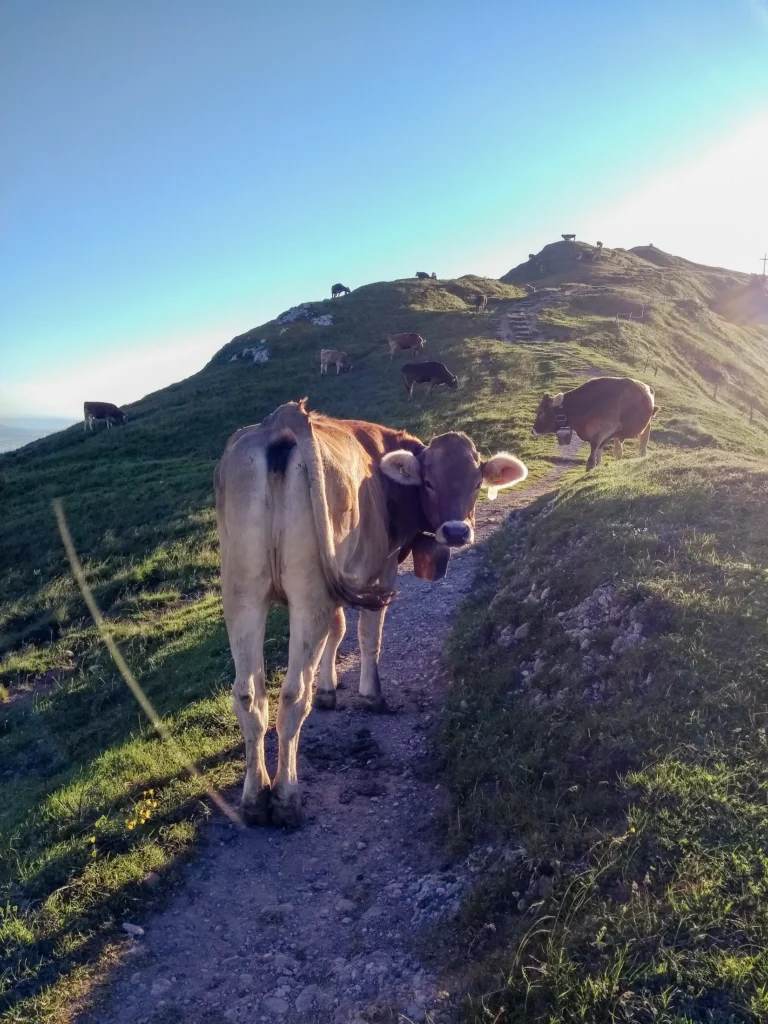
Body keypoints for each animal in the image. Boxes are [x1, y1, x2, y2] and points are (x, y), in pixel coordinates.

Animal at [215, 400, 528, 826]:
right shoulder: (381, 570)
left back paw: (253, 798)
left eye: (477, 482)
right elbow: (367, 635)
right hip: (307, 592)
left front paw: (329, 689)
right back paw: (285, 797)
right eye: (429, 482)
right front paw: (371, 695)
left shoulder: (337, 583)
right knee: (293, 695)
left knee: (249, 694)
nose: (456, 532)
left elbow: (337, 629)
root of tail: (278, 421)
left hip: (243, 592)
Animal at [530, 377, 659, 471]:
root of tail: (647, 386)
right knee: (619, 451)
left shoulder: (606, 430)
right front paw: (597, 466)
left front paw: (590, 467)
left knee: (642, 446)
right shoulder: (606, 434)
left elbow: (593, 449)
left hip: (646, 426)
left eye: (540, 412)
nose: (533, 431)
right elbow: (599, 452)